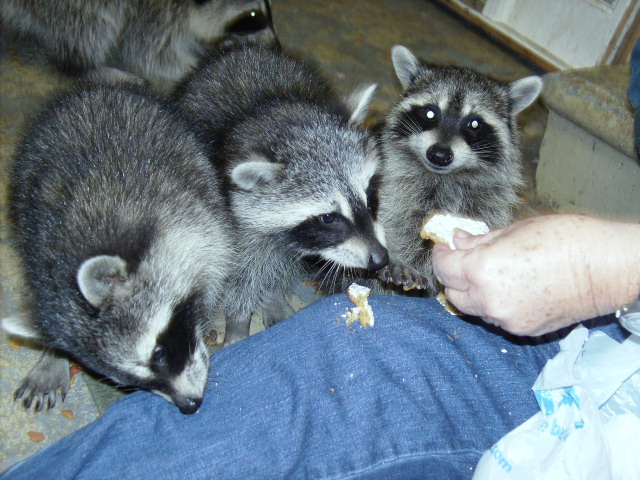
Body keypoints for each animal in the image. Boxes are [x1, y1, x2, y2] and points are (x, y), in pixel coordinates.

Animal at [0, 0, 277, 89]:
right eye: (253, 15)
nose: (276, 46)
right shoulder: (153, 11)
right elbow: (149, 55)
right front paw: (199, 61)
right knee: (88, 25)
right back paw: (86, 66)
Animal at [2, 83, 233, 414]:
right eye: (130, 382)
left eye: (159, 352)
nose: (189, 406)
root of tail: (94, 91)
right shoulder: (39, 251)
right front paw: (53, 354)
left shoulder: (196, 212)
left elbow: (215, 265)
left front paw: (206, 310)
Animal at [175, 43, 388, 345]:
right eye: (327, 217)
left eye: (369, 194)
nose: (381, 259)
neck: (267, 109)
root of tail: (243, 49)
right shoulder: (230, 217)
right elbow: (240, 272)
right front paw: (238, 321)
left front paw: (271, 293)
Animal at [377, 45, 543, 295]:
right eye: (430, 113)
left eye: (474, 124)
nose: (439, 155)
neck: (448, 177)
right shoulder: (395, 187)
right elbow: (393, 219)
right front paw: (398, 259)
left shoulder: (488, 203)